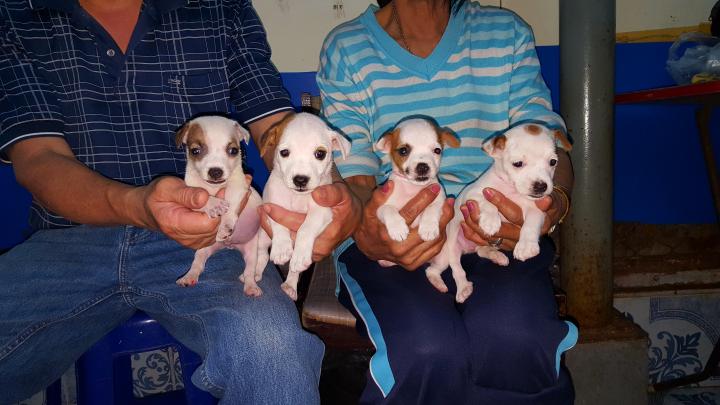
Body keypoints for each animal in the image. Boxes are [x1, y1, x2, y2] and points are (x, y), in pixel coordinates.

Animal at [174, 115, 265, 297]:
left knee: (250, 269)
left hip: (253, 250)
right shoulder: (192, 192)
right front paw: (214, 205)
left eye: (233, 151)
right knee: (198, 263)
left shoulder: (239, 188)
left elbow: (231, 201)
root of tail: (230, 246)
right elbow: (202, 198)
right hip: (203, 249)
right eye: (195, 151)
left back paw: (251, 286)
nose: (215, 171)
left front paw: (225, 226)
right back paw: (188, 277)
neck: (214, 188)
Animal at [256, 112, 351, 301]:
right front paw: (282, 248)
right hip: (262, 237)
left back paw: (290, 285)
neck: (298, 197)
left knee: (293, 270)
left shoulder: (321, 212)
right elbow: (279, 223)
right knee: (261, 254)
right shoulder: (271, 203)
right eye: (284, 152)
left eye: (320, 154)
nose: (300, 179)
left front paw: (299, 254)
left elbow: (305, 229)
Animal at [374, 117, 460, 267]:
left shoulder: (439, 199)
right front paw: (398, 228)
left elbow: (432, 208)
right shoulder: (381, 207)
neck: (412, 187)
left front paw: (428, 228)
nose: (423, 166)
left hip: (443, 258)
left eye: (437, 150)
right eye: (403, 151)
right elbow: (388, 210)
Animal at [426, 123, 572, 303]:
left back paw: (496, 256)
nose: (541, 186)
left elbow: (531, 224)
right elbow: (488, 202)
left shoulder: (537, 209)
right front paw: (490, 221)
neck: (512, 190)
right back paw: (460, 288)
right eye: (518, 164)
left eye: (553, 162)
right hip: (448, 252)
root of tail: (467, 250)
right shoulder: (473, 195)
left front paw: (526, 246)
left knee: (480, 251)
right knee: (449, 268)